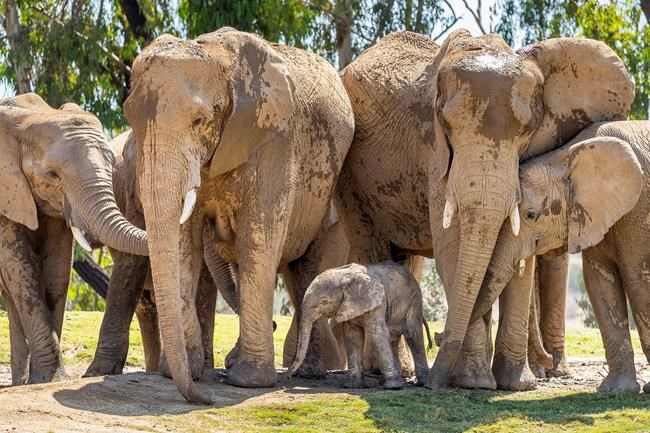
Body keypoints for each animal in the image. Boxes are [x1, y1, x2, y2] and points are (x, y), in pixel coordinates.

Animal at [0, 93, 147, 384]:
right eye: (53, 175)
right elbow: (21, 269)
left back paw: (19, 383)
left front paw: (48, 380)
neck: (27, 118)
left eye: (111, 166)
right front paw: (50, 379)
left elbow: (57, 271)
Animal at [123, 28, 354, 402]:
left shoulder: (276, 139)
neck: (217, 55)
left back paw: (307, 372)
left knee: (309, 269)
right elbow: (185, 242)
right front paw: (185, 371)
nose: (204, 397)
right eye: (131, 120)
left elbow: (257, 241)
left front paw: (249, 382)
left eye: (200, 121)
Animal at [288, 262, 429, 389]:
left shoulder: (378, 302)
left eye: (324, 301)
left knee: (413, 335)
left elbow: (377, 335)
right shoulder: (348, 305)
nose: (289, 376)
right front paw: (352, 386)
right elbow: (352, 337)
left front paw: (393, 387)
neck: (345, 275)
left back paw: (419, 383)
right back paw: (386, 381)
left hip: (414, 300)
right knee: (393, 338)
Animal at [472, 120, 650, 393]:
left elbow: (637, 278)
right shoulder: (593, 215)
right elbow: (598, 282)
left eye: (531, 215)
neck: (565, 157)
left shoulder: (639, 208)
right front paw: (616, 390)